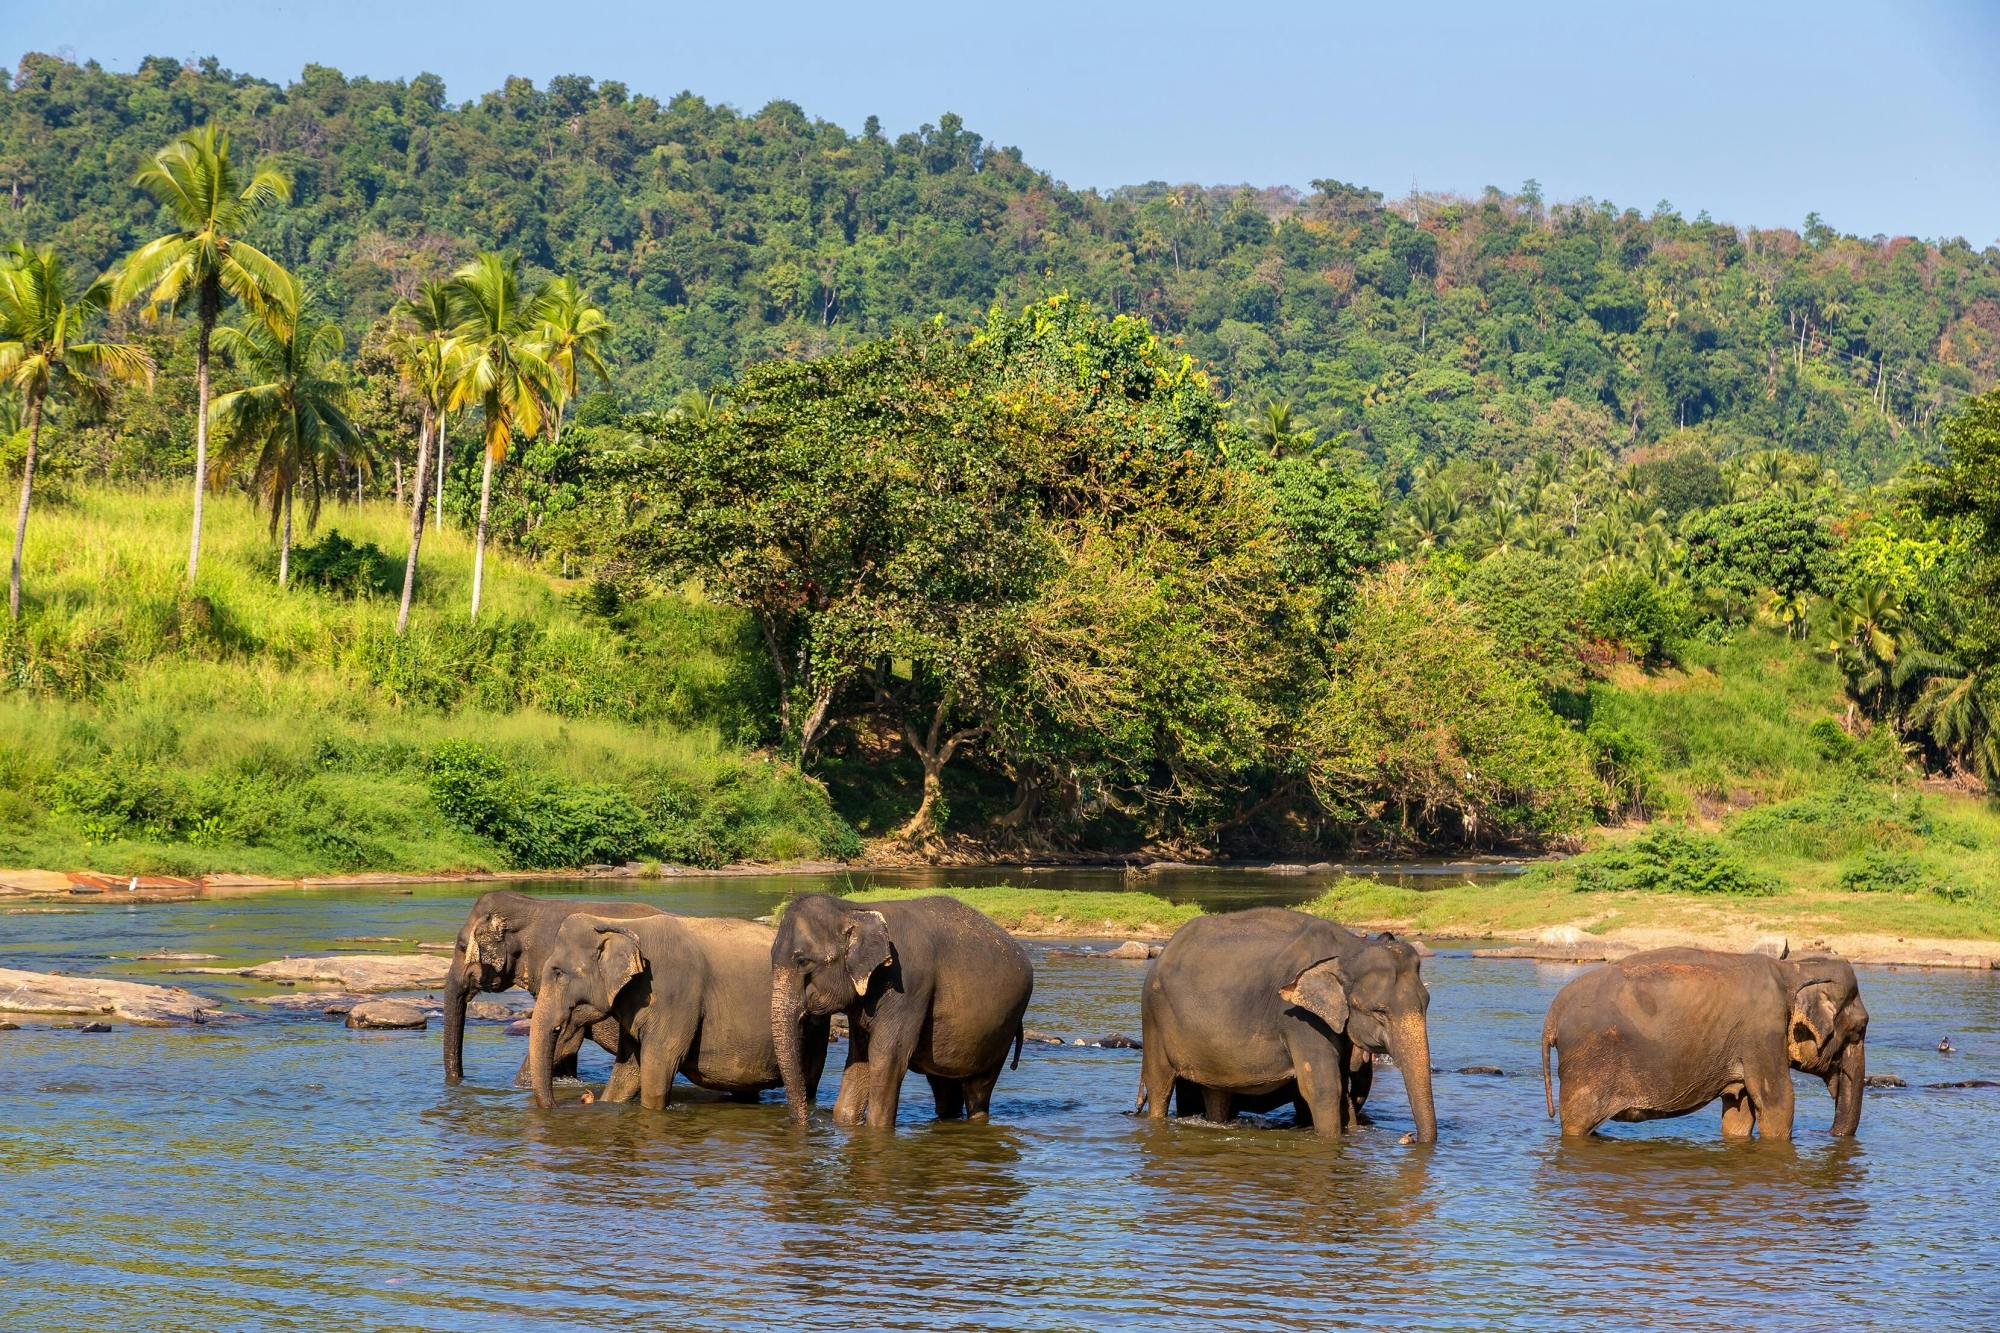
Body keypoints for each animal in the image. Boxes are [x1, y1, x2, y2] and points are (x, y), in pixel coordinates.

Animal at [529, 912, 821, 1111]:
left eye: (558, 973)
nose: (581, 1098)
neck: (624, 923)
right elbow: (628, 1070)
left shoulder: (674, 995)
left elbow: (660, 1063)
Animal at [769, 893, 1034, 1129]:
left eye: (803, 962)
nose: (808, 1124)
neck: (852, 908)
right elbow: (859, 1058)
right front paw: (845, 1122)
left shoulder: (907, 984)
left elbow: (887, 1057)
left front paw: (876, 1130)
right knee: (944, 1087)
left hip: (1003, 1026)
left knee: (978, 1090)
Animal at [1139, 908, 1437, 1143]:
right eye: (1380, 1011)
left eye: (1426, 1003)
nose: (1410, 1138)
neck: (1349, 949)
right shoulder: (1298, 1019)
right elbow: (1323, 1088)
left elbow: (1342, 1087)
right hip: (1154, 1018)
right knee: (1160, 1085)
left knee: (1216, 1093)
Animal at [1539, 947, 1869, 1139]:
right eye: (1860, 1028)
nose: (1824, 1133)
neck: (1791, 969)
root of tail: (1552, 1015)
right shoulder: (1763, 1032)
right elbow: (1778, 1104)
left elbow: (1740, 1111)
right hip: (1587, 1066)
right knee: (1577, 1124)